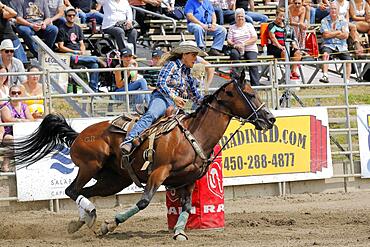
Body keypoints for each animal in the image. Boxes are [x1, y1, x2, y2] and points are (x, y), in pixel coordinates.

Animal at [7, 71, 274, 239]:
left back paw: (83, 220)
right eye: (250, 95)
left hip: (113, 181)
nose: (270, 119)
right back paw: (92, 217)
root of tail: (79, 134)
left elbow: (187, 208)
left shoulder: (188, 180)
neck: (194, 134)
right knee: (71, 190)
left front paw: (179, 232)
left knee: (84, 192)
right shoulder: (158, 172)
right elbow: (144, 202)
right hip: (90, 166)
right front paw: (109, 225)